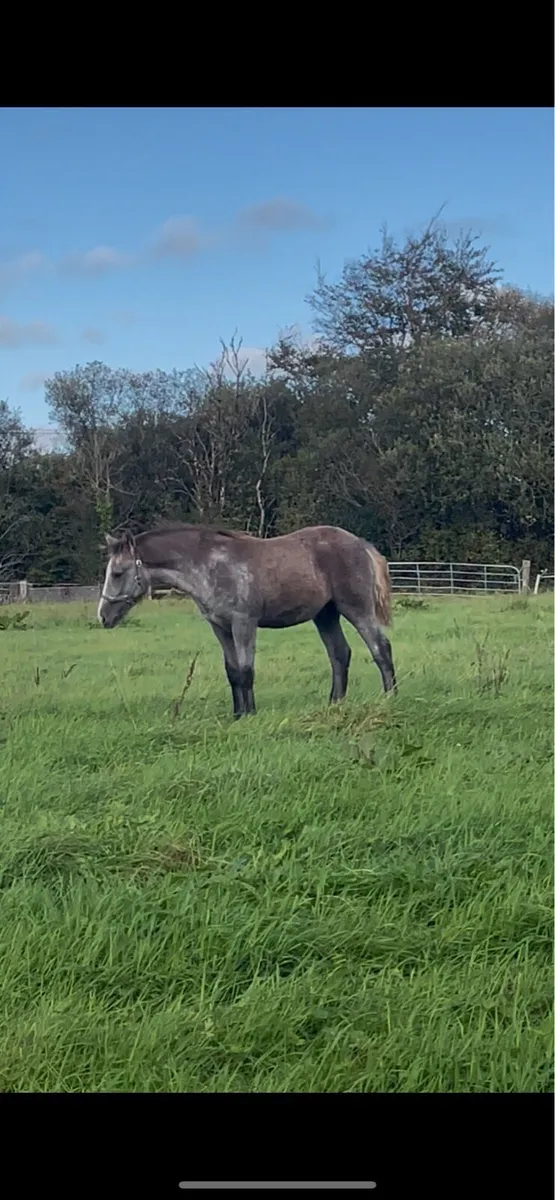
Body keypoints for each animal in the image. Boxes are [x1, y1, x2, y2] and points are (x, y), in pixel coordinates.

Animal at [98, 523, 396, 718]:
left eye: (117, 572)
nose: (103, 616)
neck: (210, 565)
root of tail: (361, 544)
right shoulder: (220, 627)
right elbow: (231, 671)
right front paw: (237, 714)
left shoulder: (243, 624)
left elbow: (245, 669)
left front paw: (250, 714)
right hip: (325, 615)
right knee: (339, 654)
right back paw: (335, 704)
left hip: (356, 609)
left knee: (380, 648)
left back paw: (390, 697)